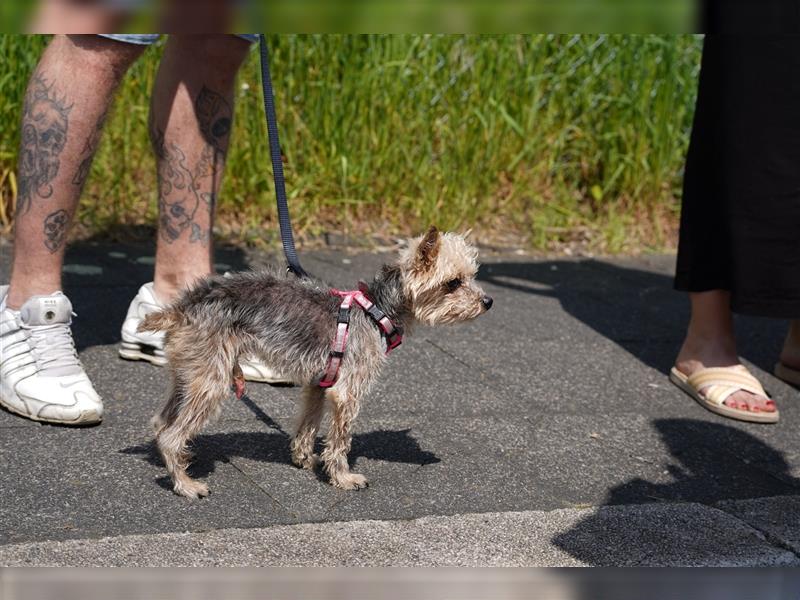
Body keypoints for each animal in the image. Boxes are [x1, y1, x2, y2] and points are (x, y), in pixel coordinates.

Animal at [142, 227, 494, 500]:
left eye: (472, 277)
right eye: (453, 283)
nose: (488, 301)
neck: (375, 310)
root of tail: (183, 307)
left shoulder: (318, 384)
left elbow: (308, 424)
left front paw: (304, 459)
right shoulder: (346, 393)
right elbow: (340, 440)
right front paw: (342, 477)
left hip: (191, 373)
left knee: (161, 423)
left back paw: (178, 459)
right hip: (212, 381)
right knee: (171, 434)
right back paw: (185, 483)